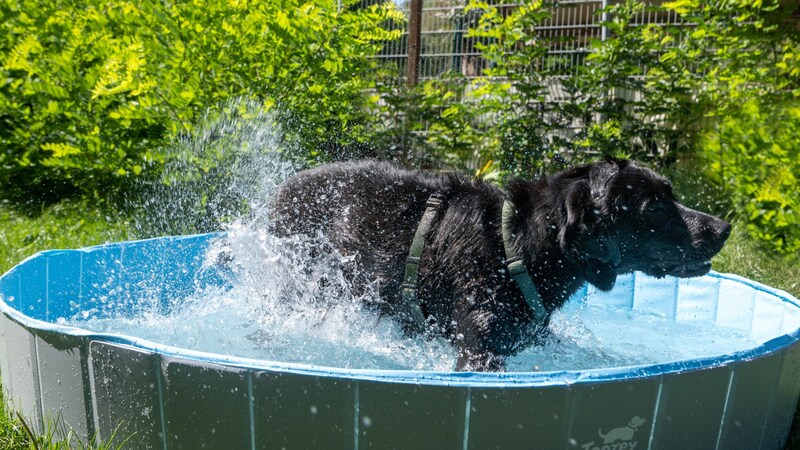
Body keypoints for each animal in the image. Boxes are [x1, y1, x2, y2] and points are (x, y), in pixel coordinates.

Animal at [268, 160, 732, 370]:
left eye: (671, 194)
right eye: (654, 207)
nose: (724, 227)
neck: (518, 248)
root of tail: (279, 191)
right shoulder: (479, 350)